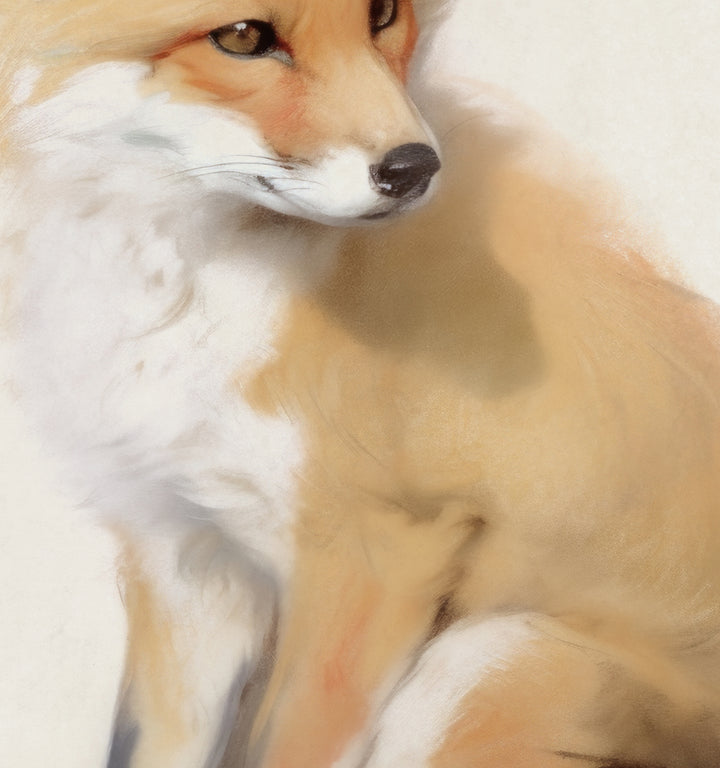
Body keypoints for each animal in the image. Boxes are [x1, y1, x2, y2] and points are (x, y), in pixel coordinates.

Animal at [2, 1, 720, 767]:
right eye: (242, 37)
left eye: (382, 12)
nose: (415, 167)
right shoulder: (184, 555)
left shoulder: (375, 556)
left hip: (475, 664)